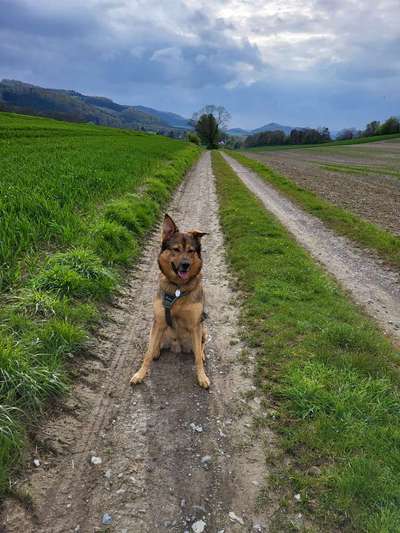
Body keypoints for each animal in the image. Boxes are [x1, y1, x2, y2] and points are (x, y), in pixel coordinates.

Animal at [130, 212, 211, 386]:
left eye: (191, 251)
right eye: (176, 249)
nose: (185, 265)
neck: (178, 289)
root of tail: (177, 345)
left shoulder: (195, 325)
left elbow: (197, 359)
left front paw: (202, 376)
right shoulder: (159, 321)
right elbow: (147, 355)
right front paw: (140, 374)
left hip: (203, 329)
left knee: (200, 347)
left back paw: (201, 354)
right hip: (155, 328)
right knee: (152, 345)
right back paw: (156, 350)